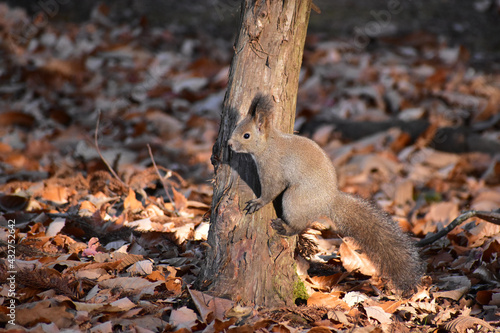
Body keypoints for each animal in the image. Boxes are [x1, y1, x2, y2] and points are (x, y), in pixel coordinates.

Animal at [229, 92, 424, 292]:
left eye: (246, 135)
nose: (229, 144)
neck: (268, 145)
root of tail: (328, 200)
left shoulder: (272, 171)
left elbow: (270, 191)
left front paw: (257, 202)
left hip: (294, 199)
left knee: (298, 224)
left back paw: (285, 228)